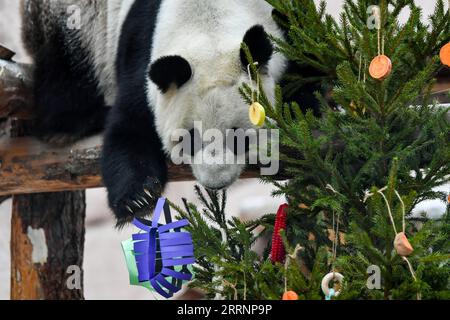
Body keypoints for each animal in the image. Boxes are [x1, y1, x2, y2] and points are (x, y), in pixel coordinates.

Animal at [20, 0, 284, 225]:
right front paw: (137, 199)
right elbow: (129, 126)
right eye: (190, 139)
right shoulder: (143, 49)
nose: (216, 181)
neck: (208, 23)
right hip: (76, 25)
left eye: (239, 138)